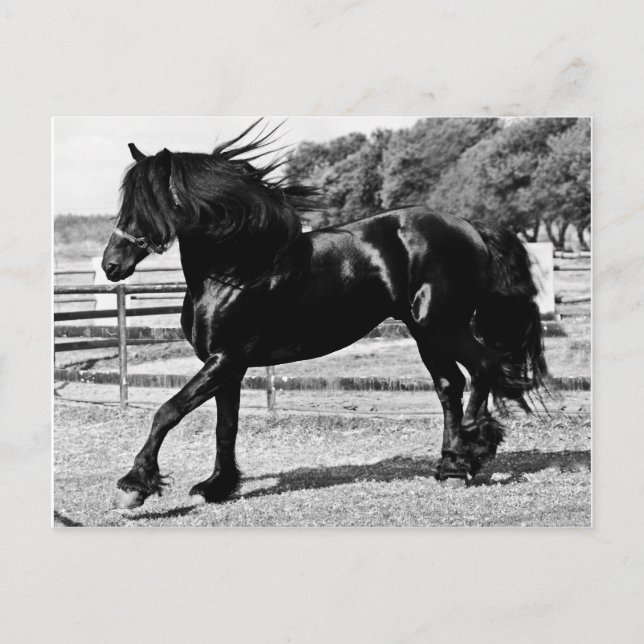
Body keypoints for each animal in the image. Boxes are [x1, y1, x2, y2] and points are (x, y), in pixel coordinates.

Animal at [101, 121, 547, 510]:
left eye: (150, 203)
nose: (111, 265)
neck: (237, 270)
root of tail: (469, 226)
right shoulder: (227, 365)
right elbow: (224, 427)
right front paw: (217, 486)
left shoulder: (225, 359)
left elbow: (167, 411)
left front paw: (133, 487)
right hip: (426, 333)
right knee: (449, 385)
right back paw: (451, 467)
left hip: (443, 326)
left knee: (483, 368)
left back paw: (474, 446)